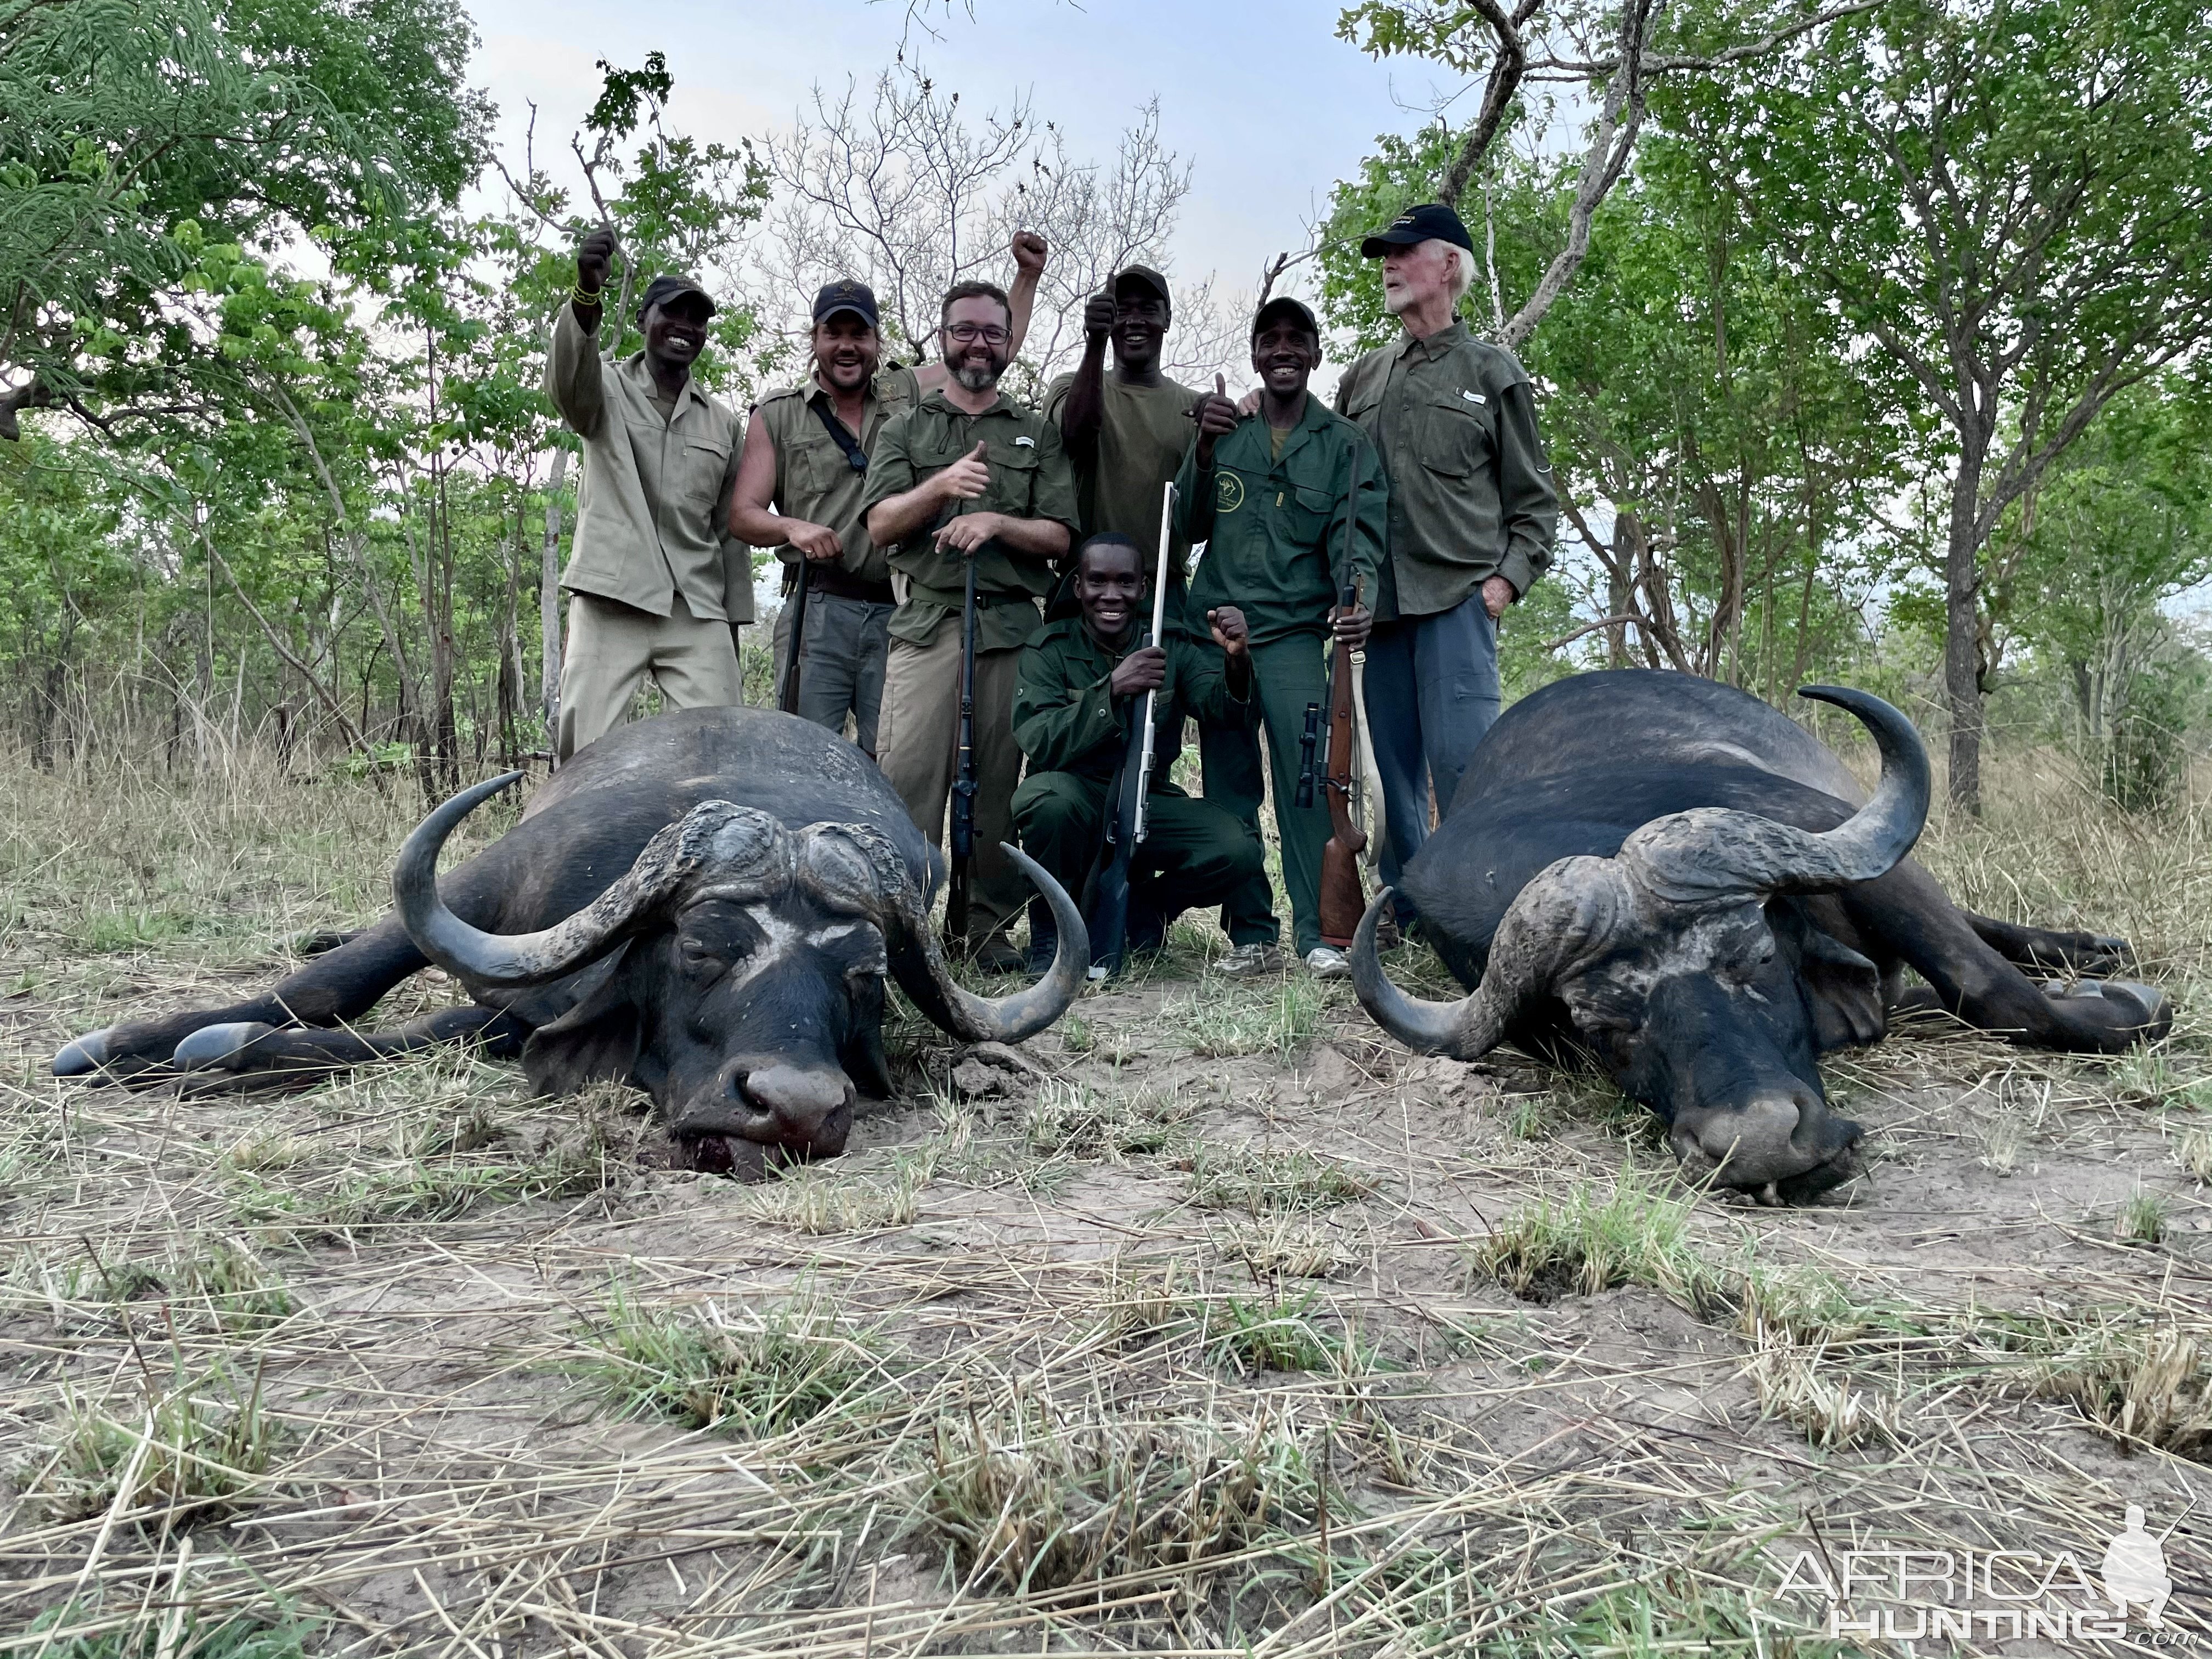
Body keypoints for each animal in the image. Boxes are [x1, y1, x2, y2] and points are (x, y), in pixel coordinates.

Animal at [64, 708, 1101, 1177]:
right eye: (699, 948)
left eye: (864, 976)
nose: (795, 1108)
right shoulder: (483, 882)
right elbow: (335, 979)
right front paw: (135, 1043)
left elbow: (440, 1032)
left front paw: (232, 1050)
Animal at [1353, 668, 2168, 1203]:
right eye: (1603, 1029)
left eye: (1758, 959)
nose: (1764, 1144)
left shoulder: (1835, 841)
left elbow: (1989, 987)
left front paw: (2125, 1004)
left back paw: (2090, 949)